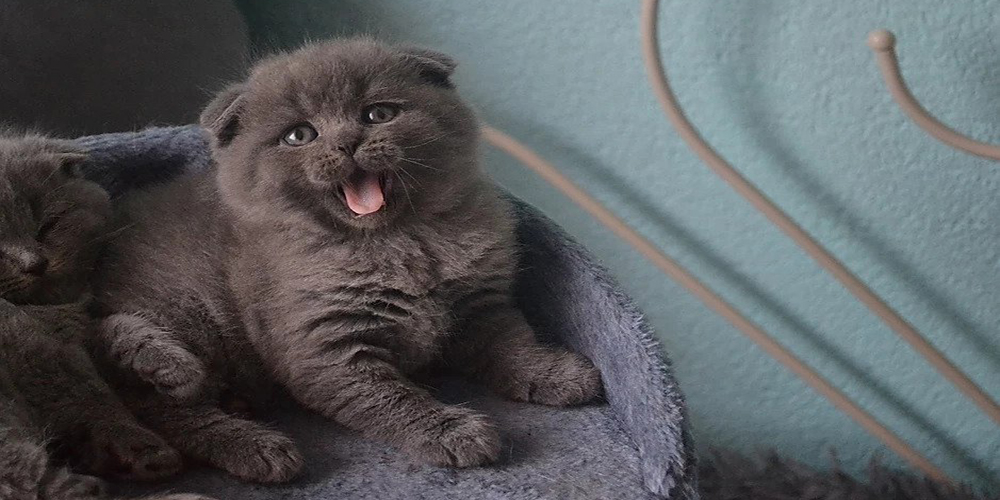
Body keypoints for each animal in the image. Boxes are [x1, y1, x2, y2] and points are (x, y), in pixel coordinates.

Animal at [0, 135, 207, 498]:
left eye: (48, 224)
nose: (35, 263)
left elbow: (120, 329)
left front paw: (177, 370)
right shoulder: (36, 353)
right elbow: (92, 398)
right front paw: (143, 448)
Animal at [95, 37, 600, 478]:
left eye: (378, 113)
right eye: (299, 134)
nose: (347, 142)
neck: (395, 243)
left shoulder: (479, 306)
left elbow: (512, 342)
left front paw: (555, 372)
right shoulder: (325, 346)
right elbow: (389, 398)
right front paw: (453, 432)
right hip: (186, 308)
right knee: (162, 408)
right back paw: (258, 448)